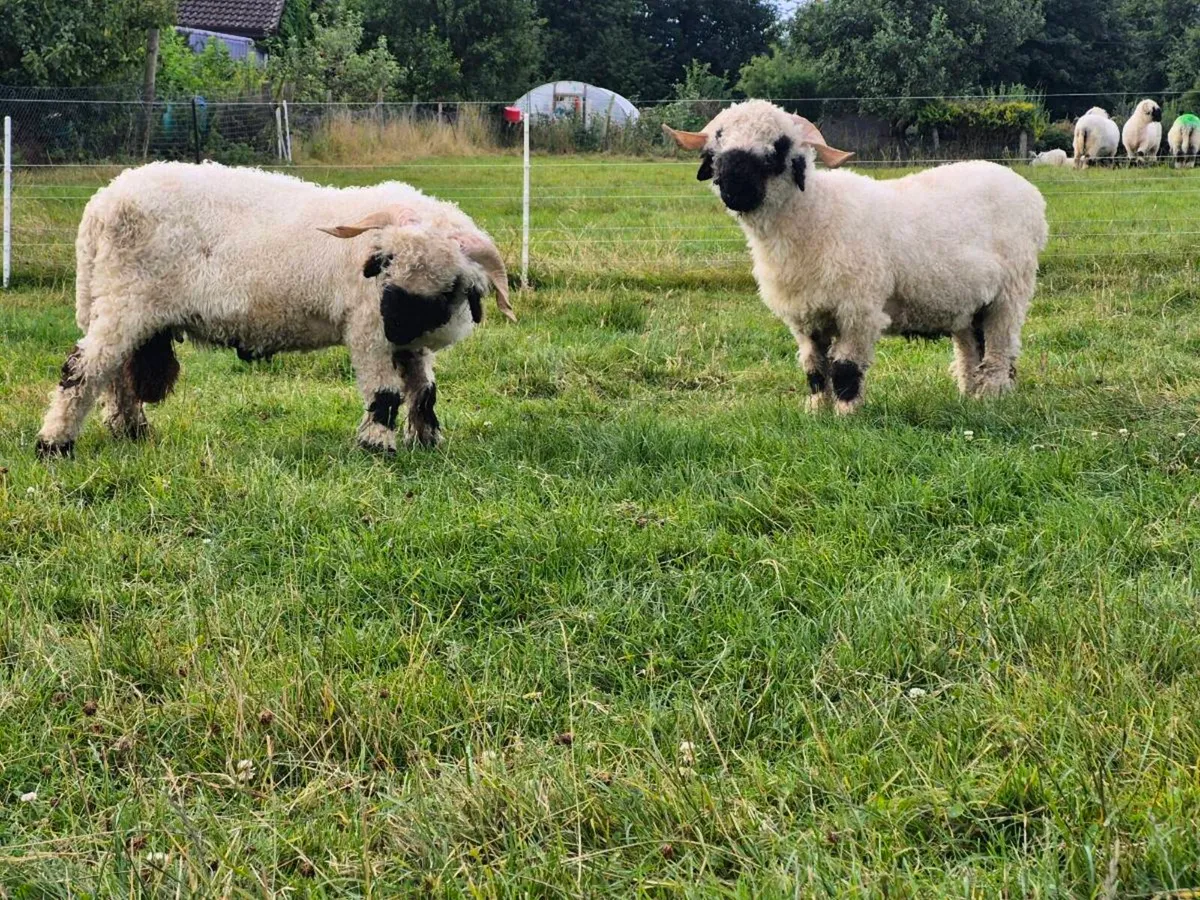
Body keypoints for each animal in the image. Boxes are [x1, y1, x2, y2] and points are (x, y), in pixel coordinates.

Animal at [35, 162, 513, 458]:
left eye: (445, 285)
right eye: (385, 263)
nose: (393, 325)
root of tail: (101, 204)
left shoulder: (411, 344)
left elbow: (423, 390)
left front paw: (429, 439)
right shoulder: (366, 329)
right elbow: (386, 393)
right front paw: (379, 446)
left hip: (119, 307)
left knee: (115, 374)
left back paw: (131, 431)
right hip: (125, 301)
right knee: (83, 370)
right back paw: (54, 445)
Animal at [663, 100, 1047, 412]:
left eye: (779, 146)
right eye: (718, 142)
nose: (734, 187)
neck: (815, 214)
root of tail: (1029, 191)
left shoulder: (858, 310)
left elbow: (845, 371)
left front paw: (847, 416)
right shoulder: (805, 317)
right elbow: (814, 370)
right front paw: (816, 413)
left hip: (1010, 293)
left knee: (999, 350)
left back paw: (991, 398)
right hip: (969, 305)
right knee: (971, 350)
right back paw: (970, 397)